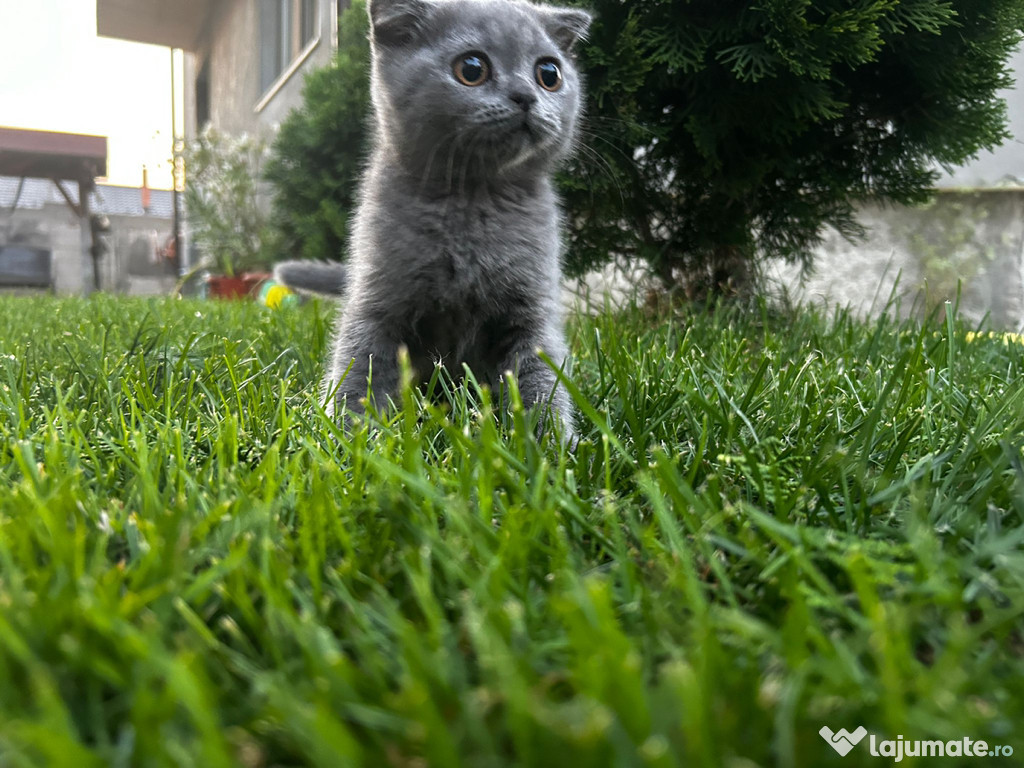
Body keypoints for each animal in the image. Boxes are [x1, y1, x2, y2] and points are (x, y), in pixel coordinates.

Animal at [274, 0, 593, 438]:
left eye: (549, 74)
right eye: (472, 68)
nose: (526, 95)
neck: (472, 201)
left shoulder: (532, 307)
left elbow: (540, 375)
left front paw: (549, 441)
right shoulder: (377, 299)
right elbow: (360, 363)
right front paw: (346, 433)